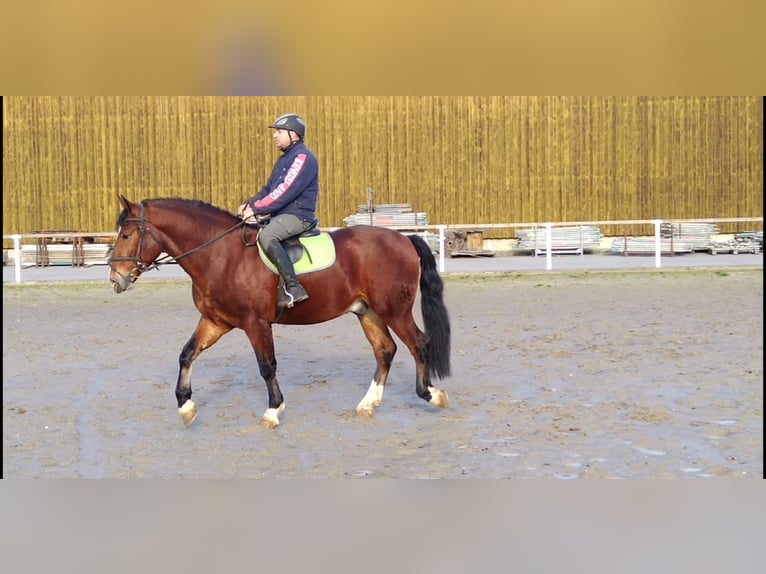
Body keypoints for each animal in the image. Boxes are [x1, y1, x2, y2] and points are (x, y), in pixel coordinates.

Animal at [111, 196, 452, 430]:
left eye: (127, 235)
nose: (116, 279)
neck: (221, 255)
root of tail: (403, 238)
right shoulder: (216, 321)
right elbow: (186, 354)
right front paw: (186, 406)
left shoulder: (256, 323)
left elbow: (266, 365)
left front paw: (273, 411)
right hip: (367, 312)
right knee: (385, 350)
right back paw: (369, 403)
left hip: (394, 310)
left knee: (418, 344)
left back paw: (432, 394)